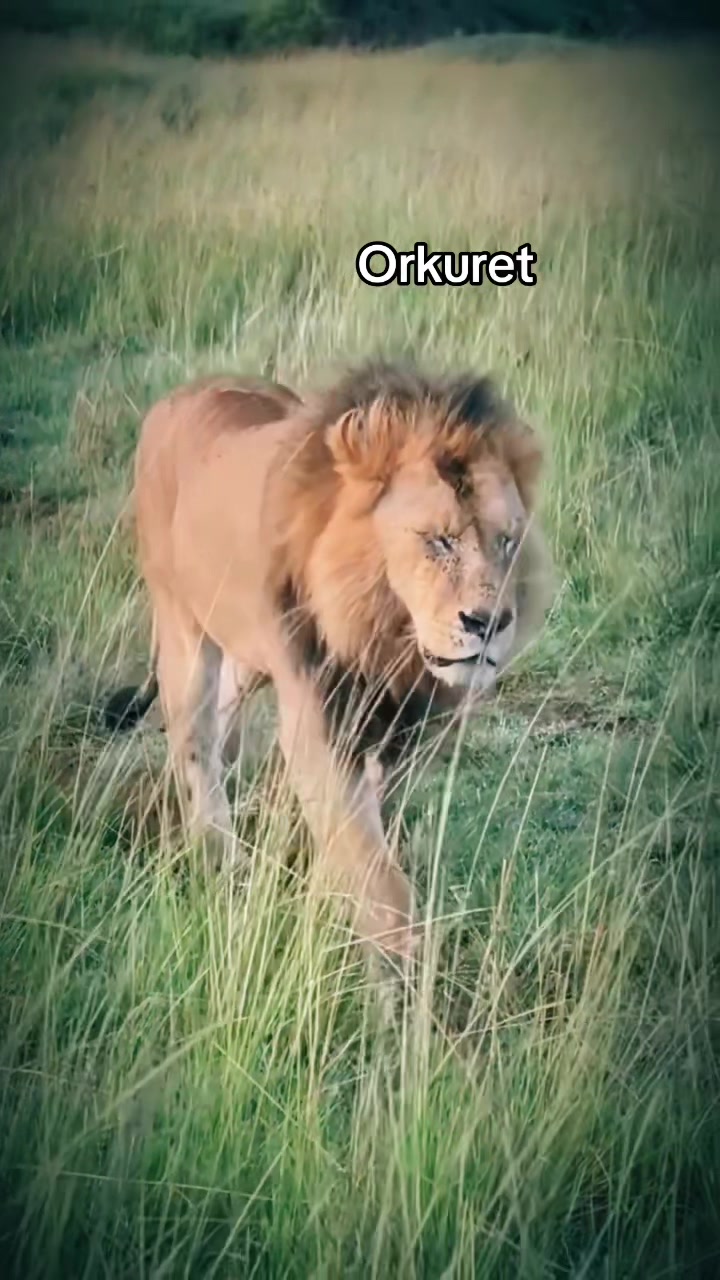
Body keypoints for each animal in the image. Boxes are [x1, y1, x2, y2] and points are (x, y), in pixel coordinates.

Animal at [105, 362, 552, 963]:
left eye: (507, 541)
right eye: (438, 541)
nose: (490, 623)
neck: (385, 640)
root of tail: (176, 396)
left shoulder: (407, 733)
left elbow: (364, 837)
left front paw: (328, 894)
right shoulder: (318, 726)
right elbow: (378, 876)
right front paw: (400, 975)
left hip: (248, 653)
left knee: (221, 720)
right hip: (183, 627)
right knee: (193, 744)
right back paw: (222, 861)